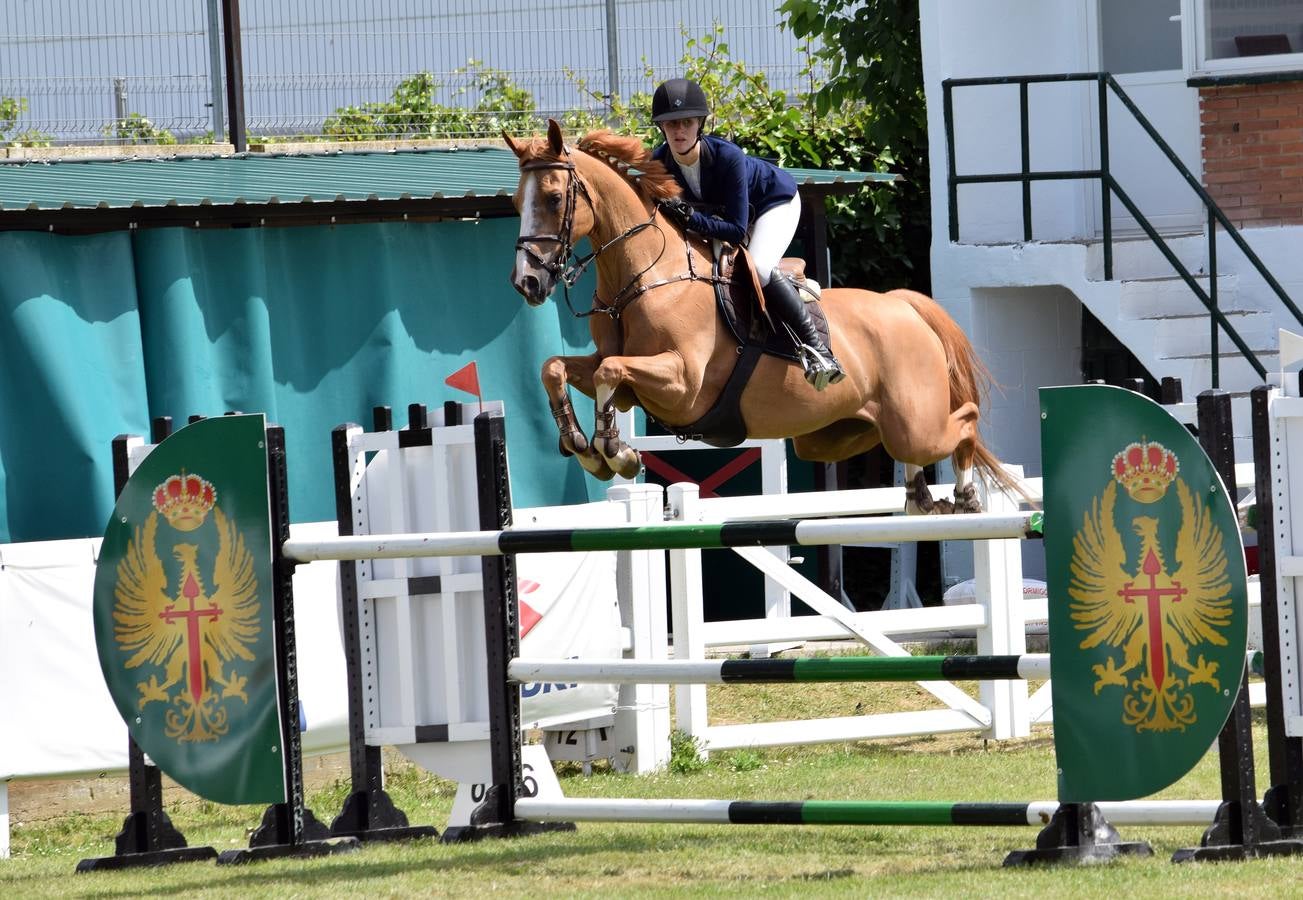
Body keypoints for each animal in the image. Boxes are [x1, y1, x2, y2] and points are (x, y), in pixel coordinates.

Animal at [502, 120, 1011, 513]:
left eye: (553, 198)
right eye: (515, 204)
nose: (527, 283)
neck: (647, 276)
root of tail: (903, 305)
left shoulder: (683, 384)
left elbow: (609, 370)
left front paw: (615, 451)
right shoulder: (629, 383)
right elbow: (557, 368)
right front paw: (582, 445)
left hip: (916, 423)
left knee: (964, 420)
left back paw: (965, 494)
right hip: (836, 433)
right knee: (899, 445)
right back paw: (918, 493)